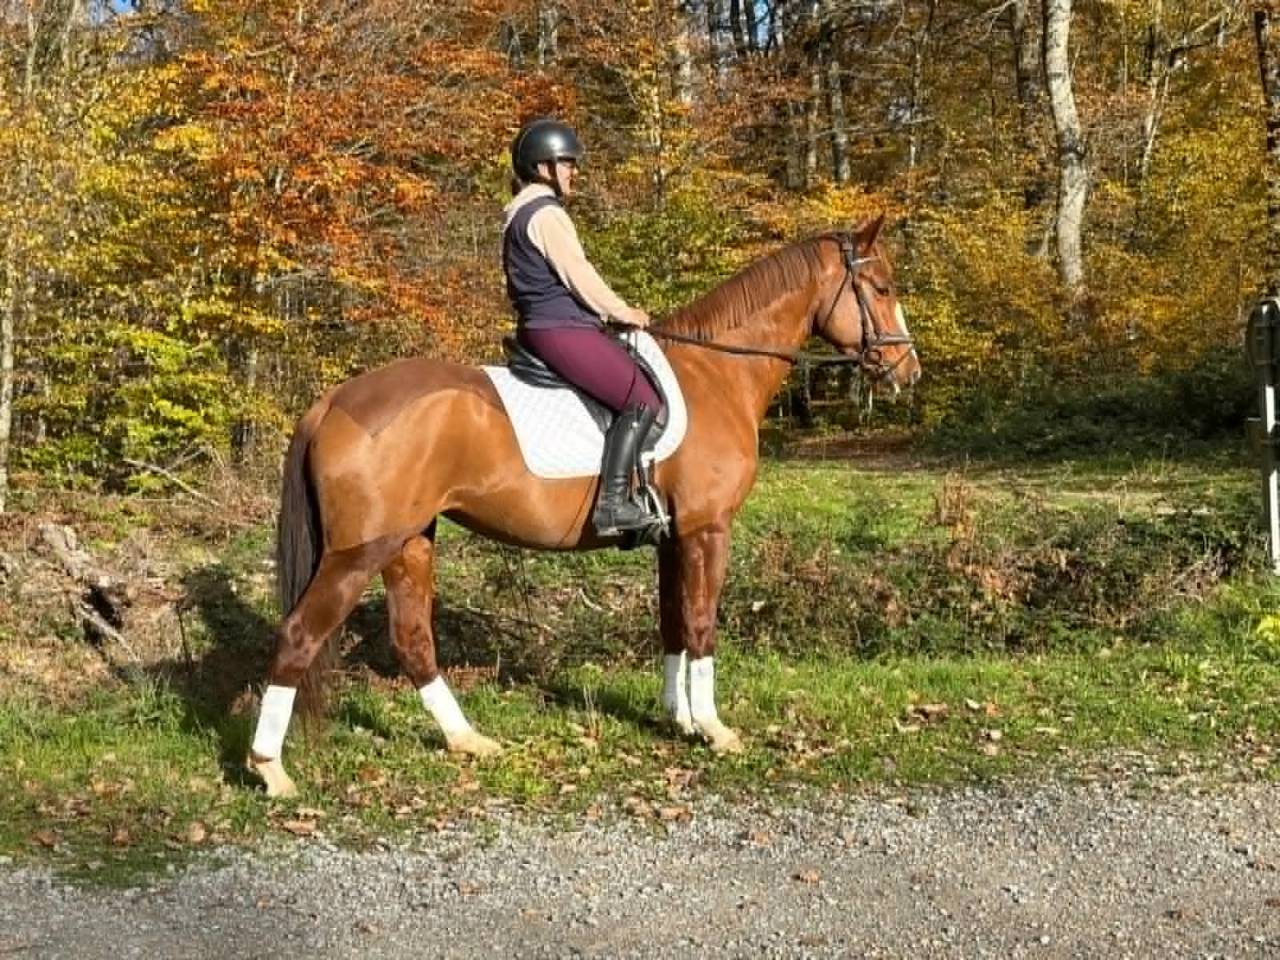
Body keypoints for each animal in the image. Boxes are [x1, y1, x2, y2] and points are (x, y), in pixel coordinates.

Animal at [246, 214, 920, 798]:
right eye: (882, 287)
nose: (907, 370)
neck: (717, 372)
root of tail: (333, 401)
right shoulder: (707, 530)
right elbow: (702, 625)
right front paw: (713, 728)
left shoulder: (673, 537)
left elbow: (673, 624)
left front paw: (677, 718)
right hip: (359, 552)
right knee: (300, 634)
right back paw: (270, 769)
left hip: (409, 541)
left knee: (412, 638)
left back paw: (467, 740)